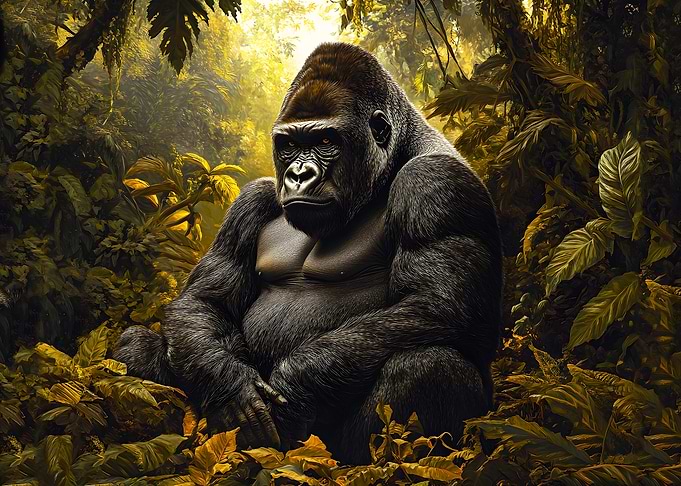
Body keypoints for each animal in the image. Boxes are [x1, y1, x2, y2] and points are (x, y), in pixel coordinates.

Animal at [115, 42, 503, 464]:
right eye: (289, 146)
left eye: (325, 141)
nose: (298, 175)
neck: (395, 156)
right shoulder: (252, 199)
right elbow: (205, 301)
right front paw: (230, 385)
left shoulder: (435, 184)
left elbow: (440, 305)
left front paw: (295, 386)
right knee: (133, 346)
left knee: (429, 364)